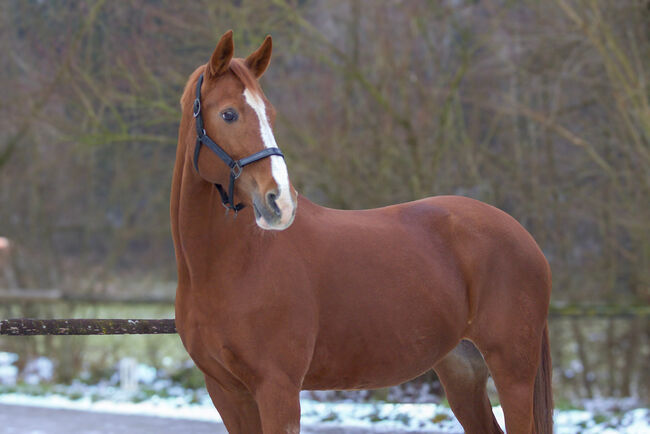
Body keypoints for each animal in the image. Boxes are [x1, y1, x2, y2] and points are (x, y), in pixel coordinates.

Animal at [170, 29, 548, 430]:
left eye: (269, 113)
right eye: (228, 113)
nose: (281, 202)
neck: (231, 264)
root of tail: (523, 236)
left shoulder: (277, 388)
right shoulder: (227, 392)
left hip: (513, 374)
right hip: (462, 369)